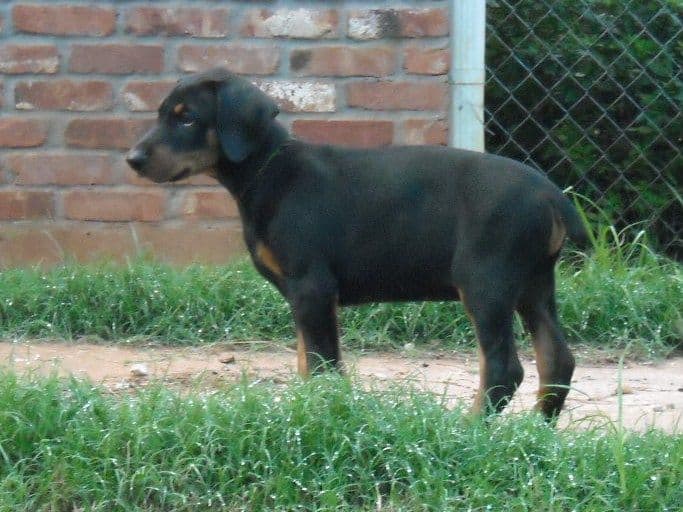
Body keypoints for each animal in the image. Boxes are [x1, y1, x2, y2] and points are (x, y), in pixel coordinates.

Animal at [127, 68, 588, 420]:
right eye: (163, 114)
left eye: (187, 119)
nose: (133, 159)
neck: (269, 170)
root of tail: (551, 194)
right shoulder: (302, 297)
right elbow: (306, 362)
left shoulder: (312, 287)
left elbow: (321, 364)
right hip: (533, 284)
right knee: (557, 359)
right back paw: (536, 431)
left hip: (486, 282)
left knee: (504, 369)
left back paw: (471, 430)